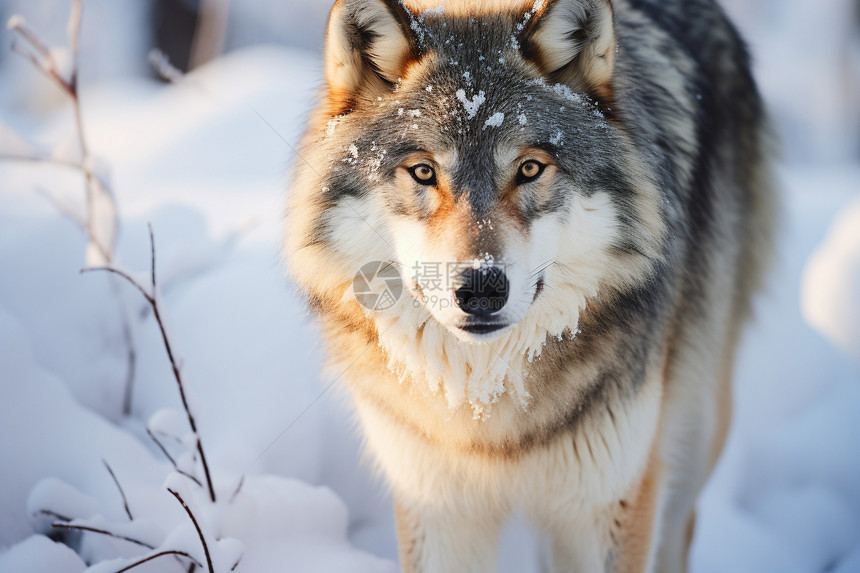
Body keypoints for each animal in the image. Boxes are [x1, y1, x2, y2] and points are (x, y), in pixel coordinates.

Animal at [286, 1, 776, 568]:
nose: (481, 288)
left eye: (529, 168)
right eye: (424, 172)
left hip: (692, 423)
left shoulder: (607, 505)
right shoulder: (438, 509)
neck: (486, 406)